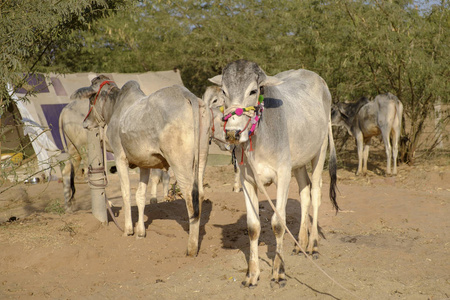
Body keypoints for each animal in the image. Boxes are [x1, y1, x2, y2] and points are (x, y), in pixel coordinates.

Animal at [73, 75, 211, 255]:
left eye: (91, 99)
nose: (85, 123)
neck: (116, 106)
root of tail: (189, 96)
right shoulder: (144, 164)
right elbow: (140, 195)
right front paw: (140, 231)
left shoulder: (120, 157)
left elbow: (126, 193)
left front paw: (128, 229)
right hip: (201, 157)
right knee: (199, 194)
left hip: (179, 162)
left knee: (189, 195)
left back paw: (191, 248)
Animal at [209, 59, 340, 288]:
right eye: (224, 91)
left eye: (253, 91)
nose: (233, 133)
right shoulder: (247, 181)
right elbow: (253, 227)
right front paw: (252, 274)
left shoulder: (283, 176)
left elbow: (278, 224)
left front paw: (279, 272)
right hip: (298, 162)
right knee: (304, 193)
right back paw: (300, 243)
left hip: (320, 151)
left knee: (315, 193)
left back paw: (313, 245)